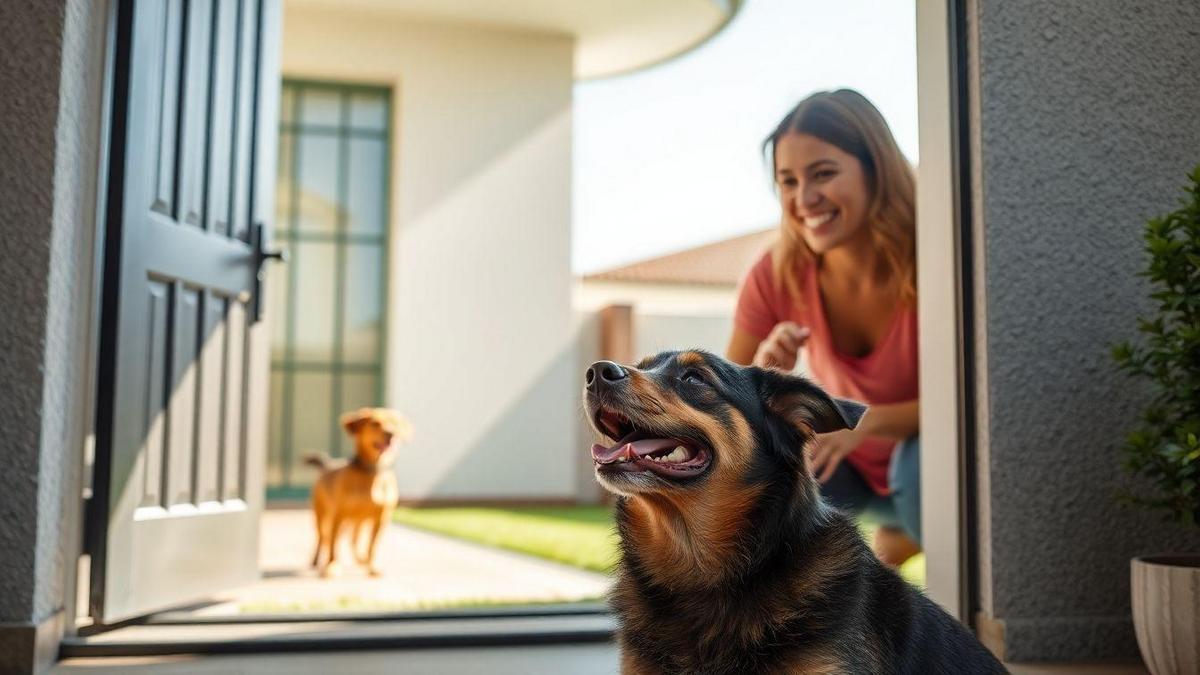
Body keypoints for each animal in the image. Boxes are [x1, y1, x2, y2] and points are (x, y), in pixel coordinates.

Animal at [304, 403, 412, 571]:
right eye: (375, 423)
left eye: (394, 423)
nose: (391, 433)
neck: (371, 472)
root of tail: (328, 464)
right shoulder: (339, 515)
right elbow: (333, 544)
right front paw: (331, 566)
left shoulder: (381, 518)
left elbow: (372, 546)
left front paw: (371, 567)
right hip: (321, 514)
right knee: (323, 537)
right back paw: (316, 561)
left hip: (355, 522)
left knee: (351, 539)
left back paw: (360, 560)